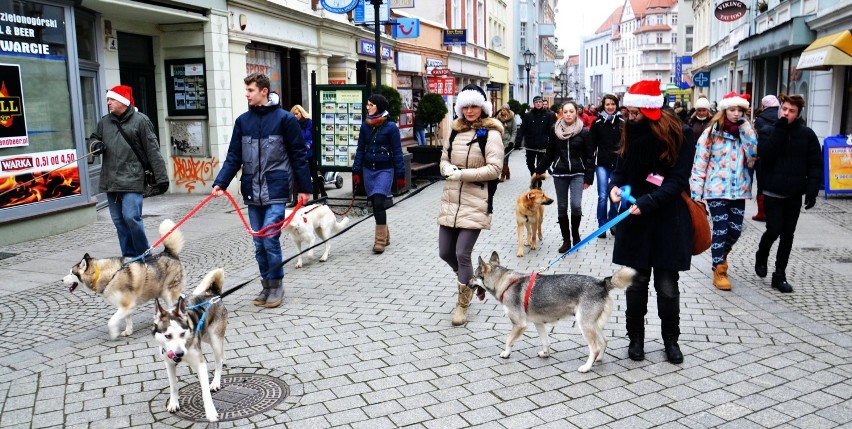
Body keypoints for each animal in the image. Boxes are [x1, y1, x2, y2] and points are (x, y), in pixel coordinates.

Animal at [152, 268, 226, 422]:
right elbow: (173, 386)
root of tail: (213, 295)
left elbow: (205, 392)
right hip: (205, 336)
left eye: (182, 333)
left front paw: (210, 412)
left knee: (219, 360)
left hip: (214, 339)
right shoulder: (169, 364)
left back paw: (216, 382)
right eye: (167, 336)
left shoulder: (200, 363)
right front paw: (174, 403)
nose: (179, 354)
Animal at [470, 251, 636, 372]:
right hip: (593, 324)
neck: (504, 282)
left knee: (594, 348)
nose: (467, 283)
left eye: (473, 276)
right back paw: (598, 359)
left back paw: (587, 367)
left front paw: (506, 353)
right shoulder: (538, 323)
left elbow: (508, 340)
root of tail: (602, 283)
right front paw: (546, 354)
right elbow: (546, 342)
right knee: (604, 342)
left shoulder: (519, 324)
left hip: (584, 325)